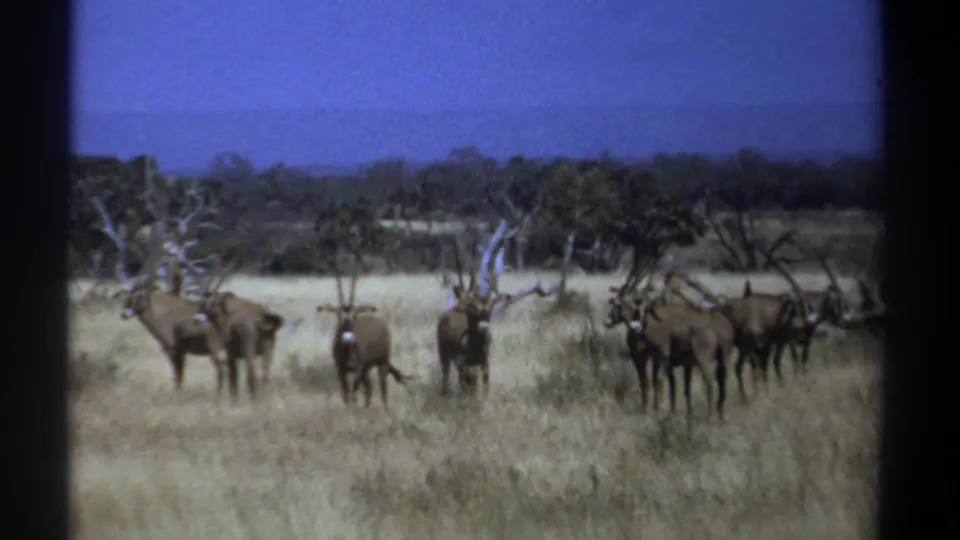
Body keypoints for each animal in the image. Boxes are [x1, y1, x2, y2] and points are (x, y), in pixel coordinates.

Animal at [196, 260, 287, 400]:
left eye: (214, 300)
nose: (200, 310)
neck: (227, 311)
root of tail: (261, 315)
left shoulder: (230, 354)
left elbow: (233, 381)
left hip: (249, 351)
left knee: (251, 374)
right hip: (268, 350)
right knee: (264, 375)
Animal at [316, 265, 411, 409]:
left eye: (355, 315)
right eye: (338, 314)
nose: (348, 337)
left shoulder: (358, 371)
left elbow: (354, 394)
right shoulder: (341, 371)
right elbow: (346, 395)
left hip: (381, 363)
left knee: (382, 389)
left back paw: (385, 409)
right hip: (367, 369)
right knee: (369, 387)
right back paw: (367, 408)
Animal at [437, 220, 559, 397]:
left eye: (491, 306)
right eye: (472, 308)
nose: (483, 326)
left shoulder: (484, 363)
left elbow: (484, 386)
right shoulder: (463, 363)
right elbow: (465, 385)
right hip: (445, 357)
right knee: (446, 378)